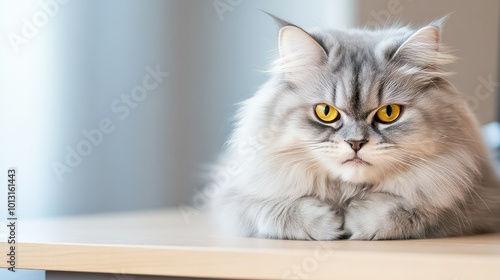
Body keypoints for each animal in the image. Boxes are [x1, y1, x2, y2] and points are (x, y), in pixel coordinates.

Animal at [211, 17, 500, 241]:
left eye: (388, 113)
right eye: (325, 112)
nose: (356, 143)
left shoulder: (473, 203)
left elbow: (409, 211)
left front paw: (356, 222)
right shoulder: (234, 202)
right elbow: (277, 212)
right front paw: (329, 224)